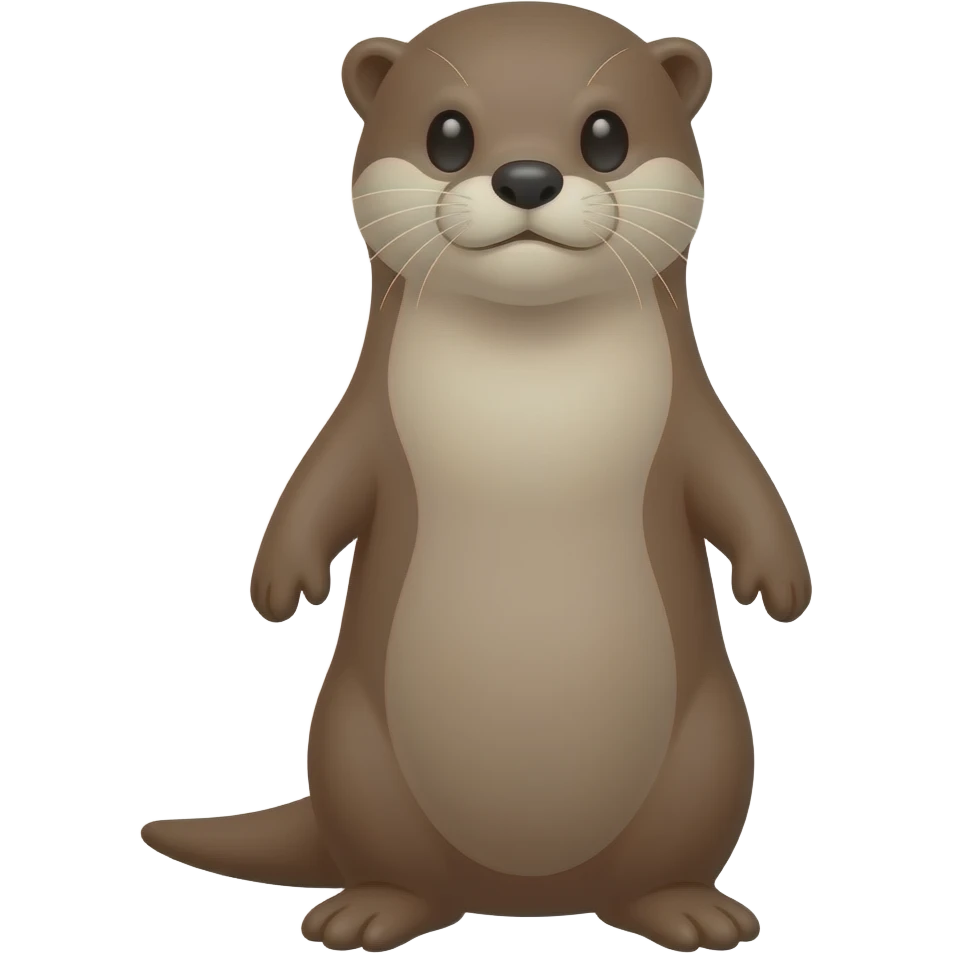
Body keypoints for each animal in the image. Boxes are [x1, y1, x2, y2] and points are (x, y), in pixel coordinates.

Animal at [140, 4, 812, 951]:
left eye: (605, 134)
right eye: (447, 134)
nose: (526, 176)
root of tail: (525, 890)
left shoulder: (692, 419)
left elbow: (738, 478)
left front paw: (780, 584)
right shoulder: (366, 421)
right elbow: (320, 478)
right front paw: (280, 585)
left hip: (711, 746)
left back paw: (686, 908)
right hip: (354, 746)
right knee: (401, 861)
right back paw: (371, 909)